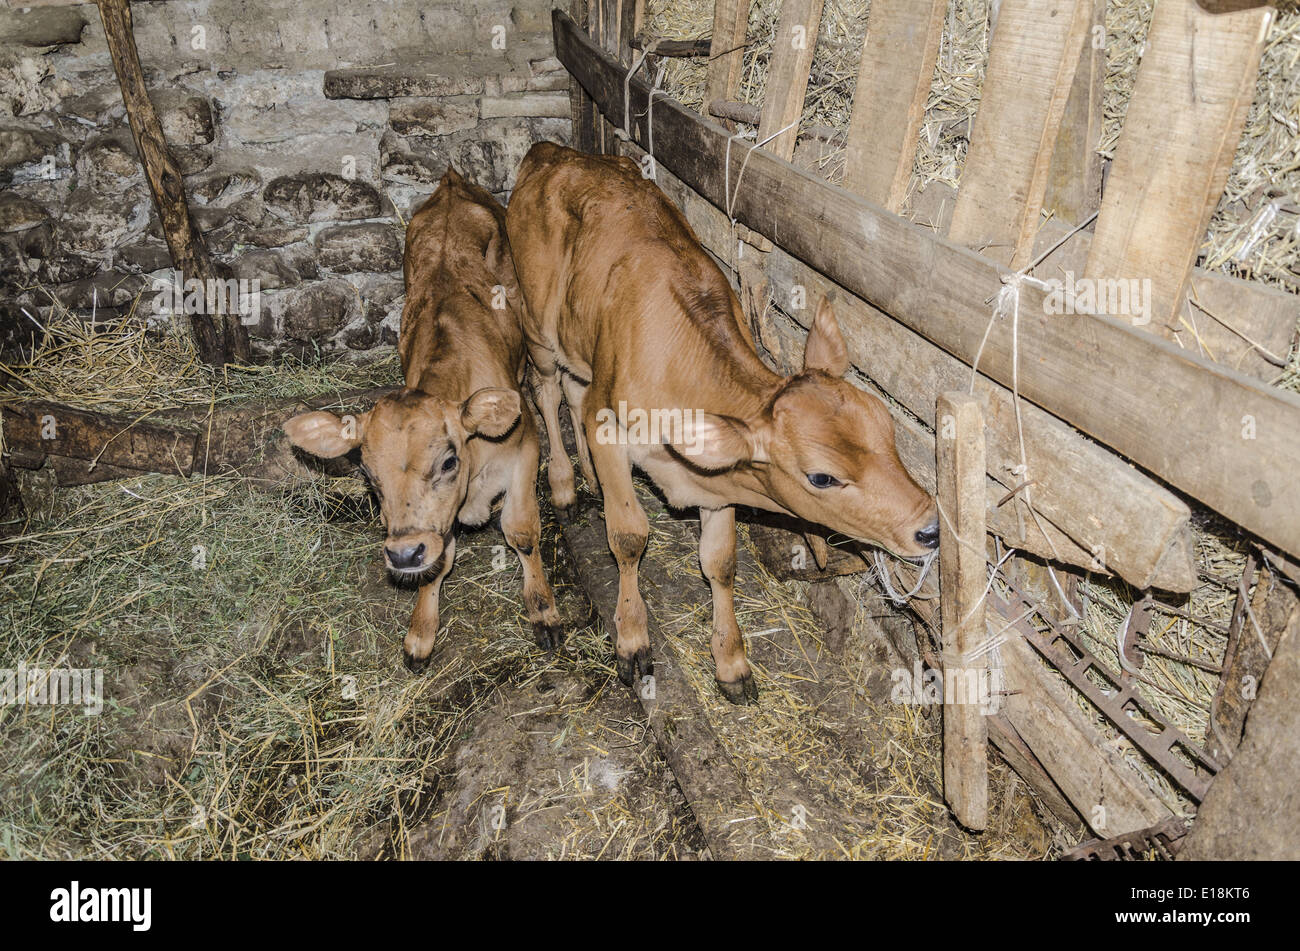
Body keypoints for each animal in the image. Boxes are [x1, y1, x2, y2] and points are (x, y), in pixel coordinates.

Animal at [284, 164, 559, 670]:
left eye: (448, 462)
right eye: (368, 476)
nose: (403, 553)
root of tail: (450, 182)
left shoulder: (525, 449)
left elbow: (522, 533)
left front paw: (542, 610)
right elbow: (437, 563)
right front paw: (421, 632)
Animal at [501, 142, 941, 706]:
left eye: (888, 428)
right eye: (822, 476)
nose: (930, 528)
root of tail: (554, 151)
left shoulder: (717, 476)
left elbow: (721, 562)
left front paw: (731, 663)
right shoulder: (610, 426)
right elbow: (628, 538)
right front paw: (632, 639)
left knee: (574, 393)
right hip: (539, 329)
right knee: (549, 391)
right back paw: (564, 486)